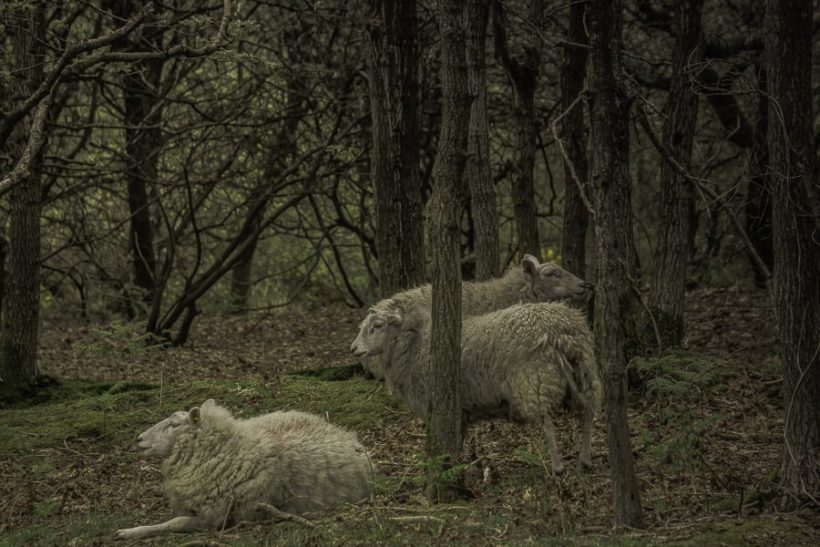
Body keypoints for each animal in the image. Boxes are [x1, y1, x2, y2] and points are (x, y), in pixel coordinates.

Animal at [114, 400, 372, 540]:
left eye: (174, 424)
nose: (139, 439)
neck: (229, 450)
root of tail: (340, 430)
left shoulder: (215, 517)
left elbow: (174, 523)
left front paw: (129, 532)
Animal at [350, 298, 602, 474]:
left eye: (378, 325)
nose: (353, 349)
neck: (415, 344)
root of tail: (560, 331)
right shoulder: (459, 409)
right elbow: (459, 436)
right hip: (585, 373)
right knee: (588, 414)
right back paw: (585, 460)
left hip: (533, 382)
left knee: (548, 423)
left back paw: (558, 466)